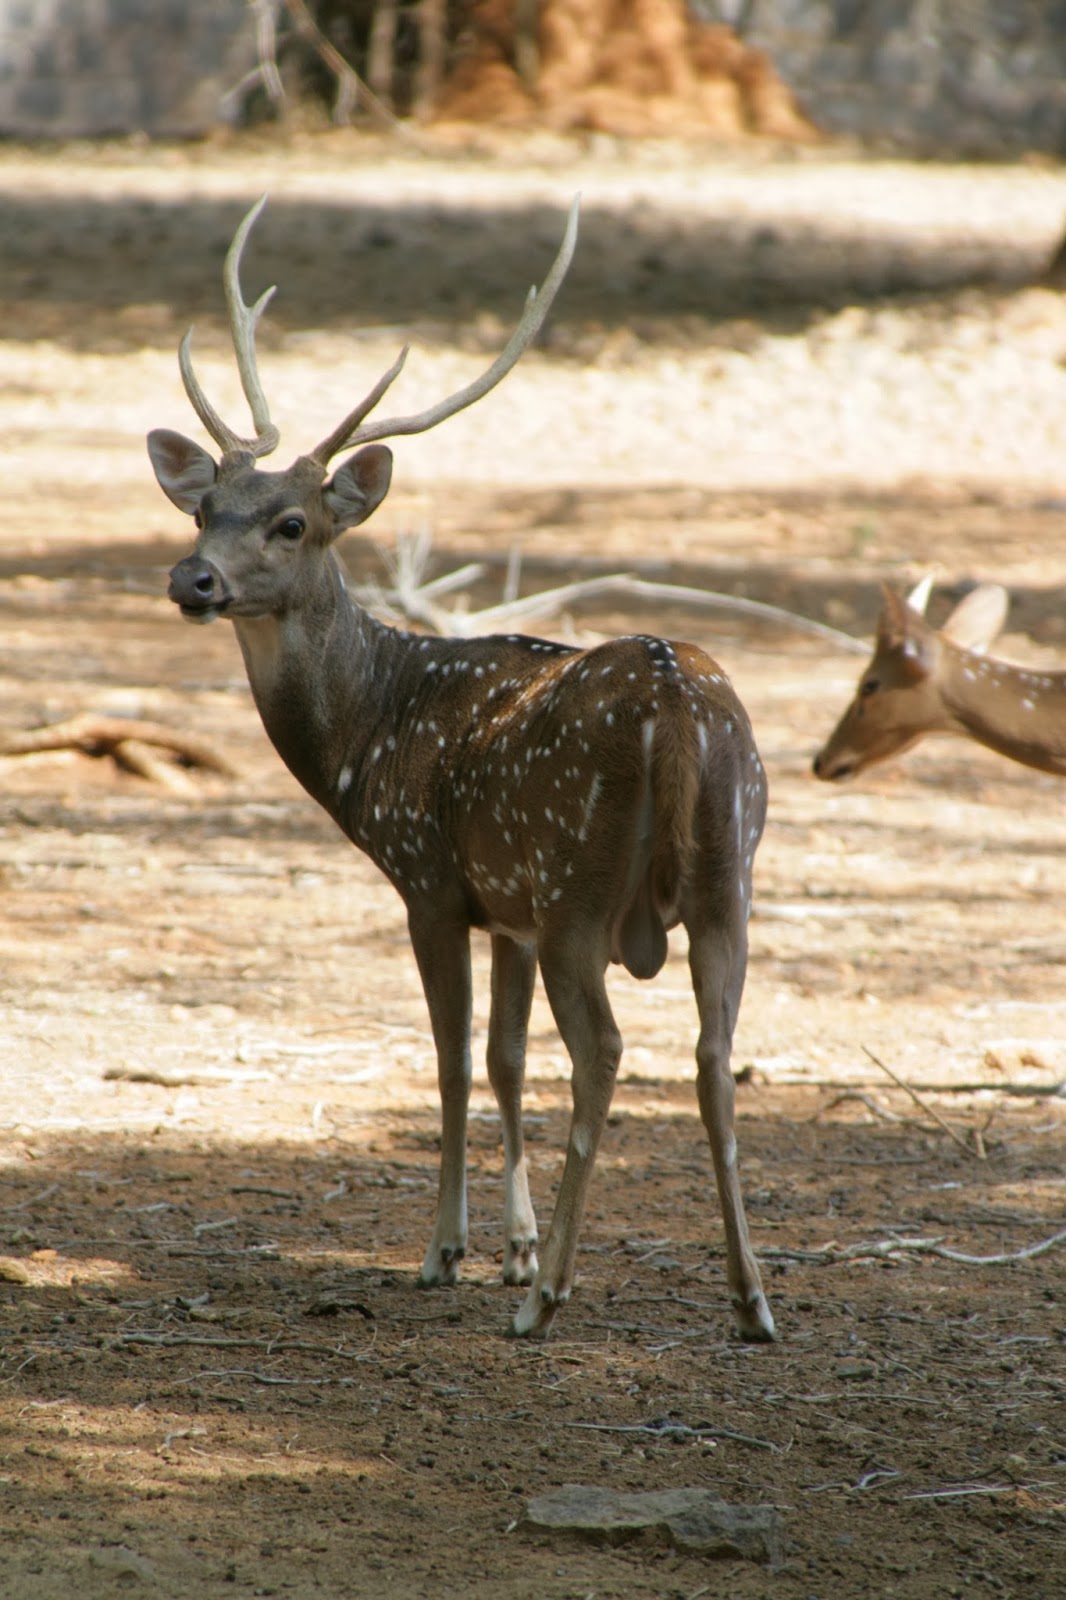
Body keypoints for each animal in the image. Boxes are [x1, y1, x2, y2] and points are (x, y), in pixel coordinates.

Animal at [145, 200, 771, 1350]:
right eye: (202, 508)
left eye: (292, 522)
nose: (192, 580)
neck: (368, 732)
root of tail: (673, 704)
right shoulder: (508, 908)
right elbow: (504, 1058)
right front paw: (509, 1242)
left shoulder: (433, 880)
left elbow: (447, 1054)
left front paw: (450, 1252)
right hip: (726, 877)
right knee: (714, 1054)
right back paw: (749, 1300)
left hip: (581, 886)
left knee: (606, 1050)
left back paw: (547, 1299)